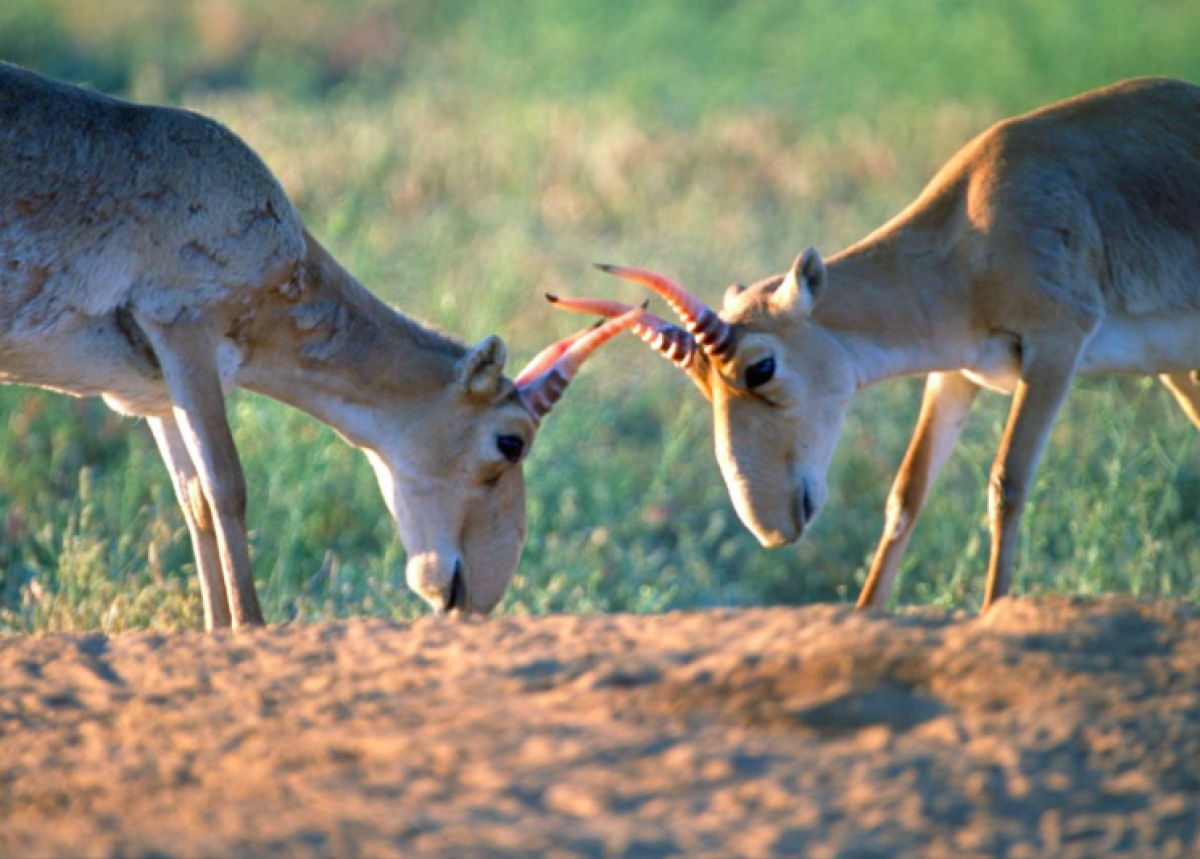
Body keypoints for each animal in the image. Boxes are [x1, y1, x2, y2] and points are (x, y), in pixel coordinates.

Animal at [0, 58, 638, 623]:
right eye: (511, 441)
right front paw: (250, 630)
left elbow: (194, 502)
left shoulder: (153, 391)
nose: (480, 596)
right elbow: (227, 486)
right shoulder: (184, 328)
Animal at [556, 75, 1200, 611]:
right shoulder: (955, 372)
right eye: (702, 384)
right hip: (1177, 368)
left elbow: (1007, 483)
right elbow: (905, 494)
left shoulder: (1056, 346)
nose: (771, 527)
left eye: (760, 367)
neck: (974, 221)